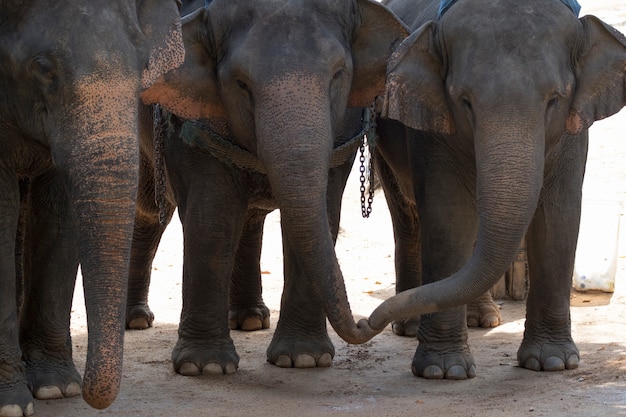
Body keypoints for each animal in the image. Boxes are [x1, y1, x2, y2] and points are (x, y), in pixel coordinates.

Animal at [0, 1, 184, 414]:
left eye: (143, 65)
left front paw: (56, 388)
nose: (91, 394)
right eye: (43, 68)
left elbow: (58, 211)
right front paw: (12, 403)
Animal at [139, 0, 408, 374]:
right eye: (241, 83)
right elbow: (212, 217)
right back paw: (136, 320)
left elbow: (323, 212)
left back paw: (251, 319)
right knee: (149, 212)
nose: (366, 321)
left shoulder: (345, 129)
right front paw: (205, 367)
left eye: (338, 74)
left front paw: (304, 359)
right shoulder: (190, 121)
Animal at [366, 0, 624, 378]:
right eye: (464, 101)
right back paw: (412, 326)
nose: (367, 323)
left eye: (554, 99)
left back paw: (483, 319)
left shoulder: (574, 130)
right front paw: (443, 371)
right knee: (408, 219)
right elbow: (449, 216)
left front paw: (553, 363)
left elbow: (558, 214)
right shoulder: (432, 128)